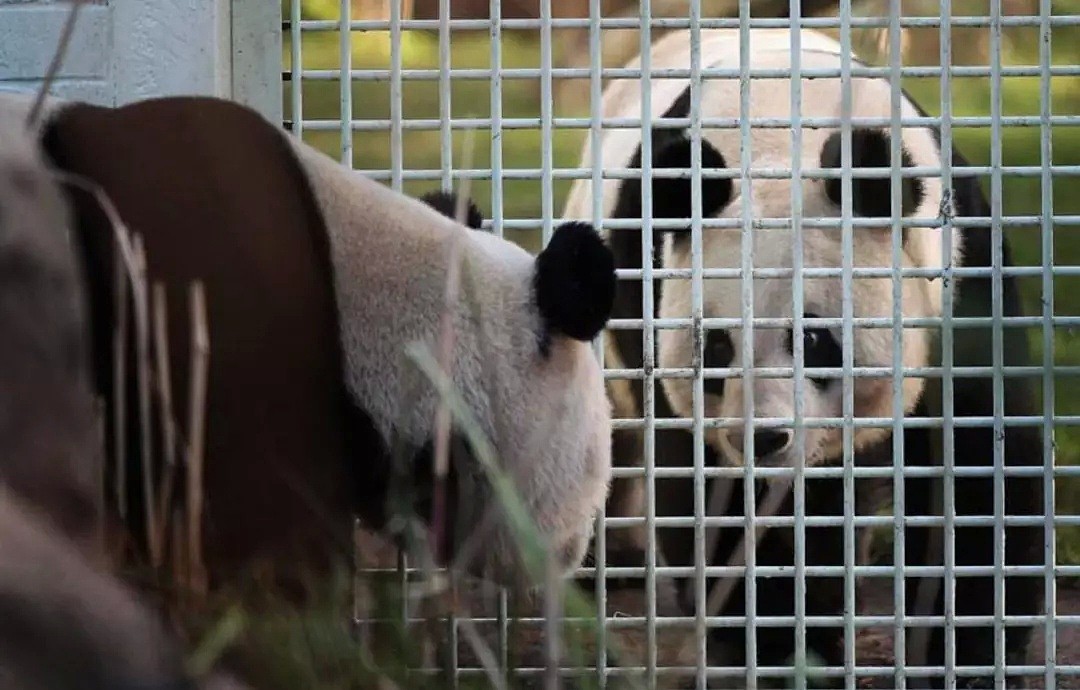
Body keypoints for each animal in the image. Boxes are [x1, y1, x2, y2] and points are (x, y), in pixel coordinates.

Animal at [565, 26, 1045, 690]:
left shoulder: (960, 274)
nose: (763, 438)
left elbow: (982, 472)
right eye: (717, 346)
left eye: (814, 340)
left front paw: (968, 662)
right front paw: (784, 652)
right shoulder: (649, 284)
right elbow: (724, 508)